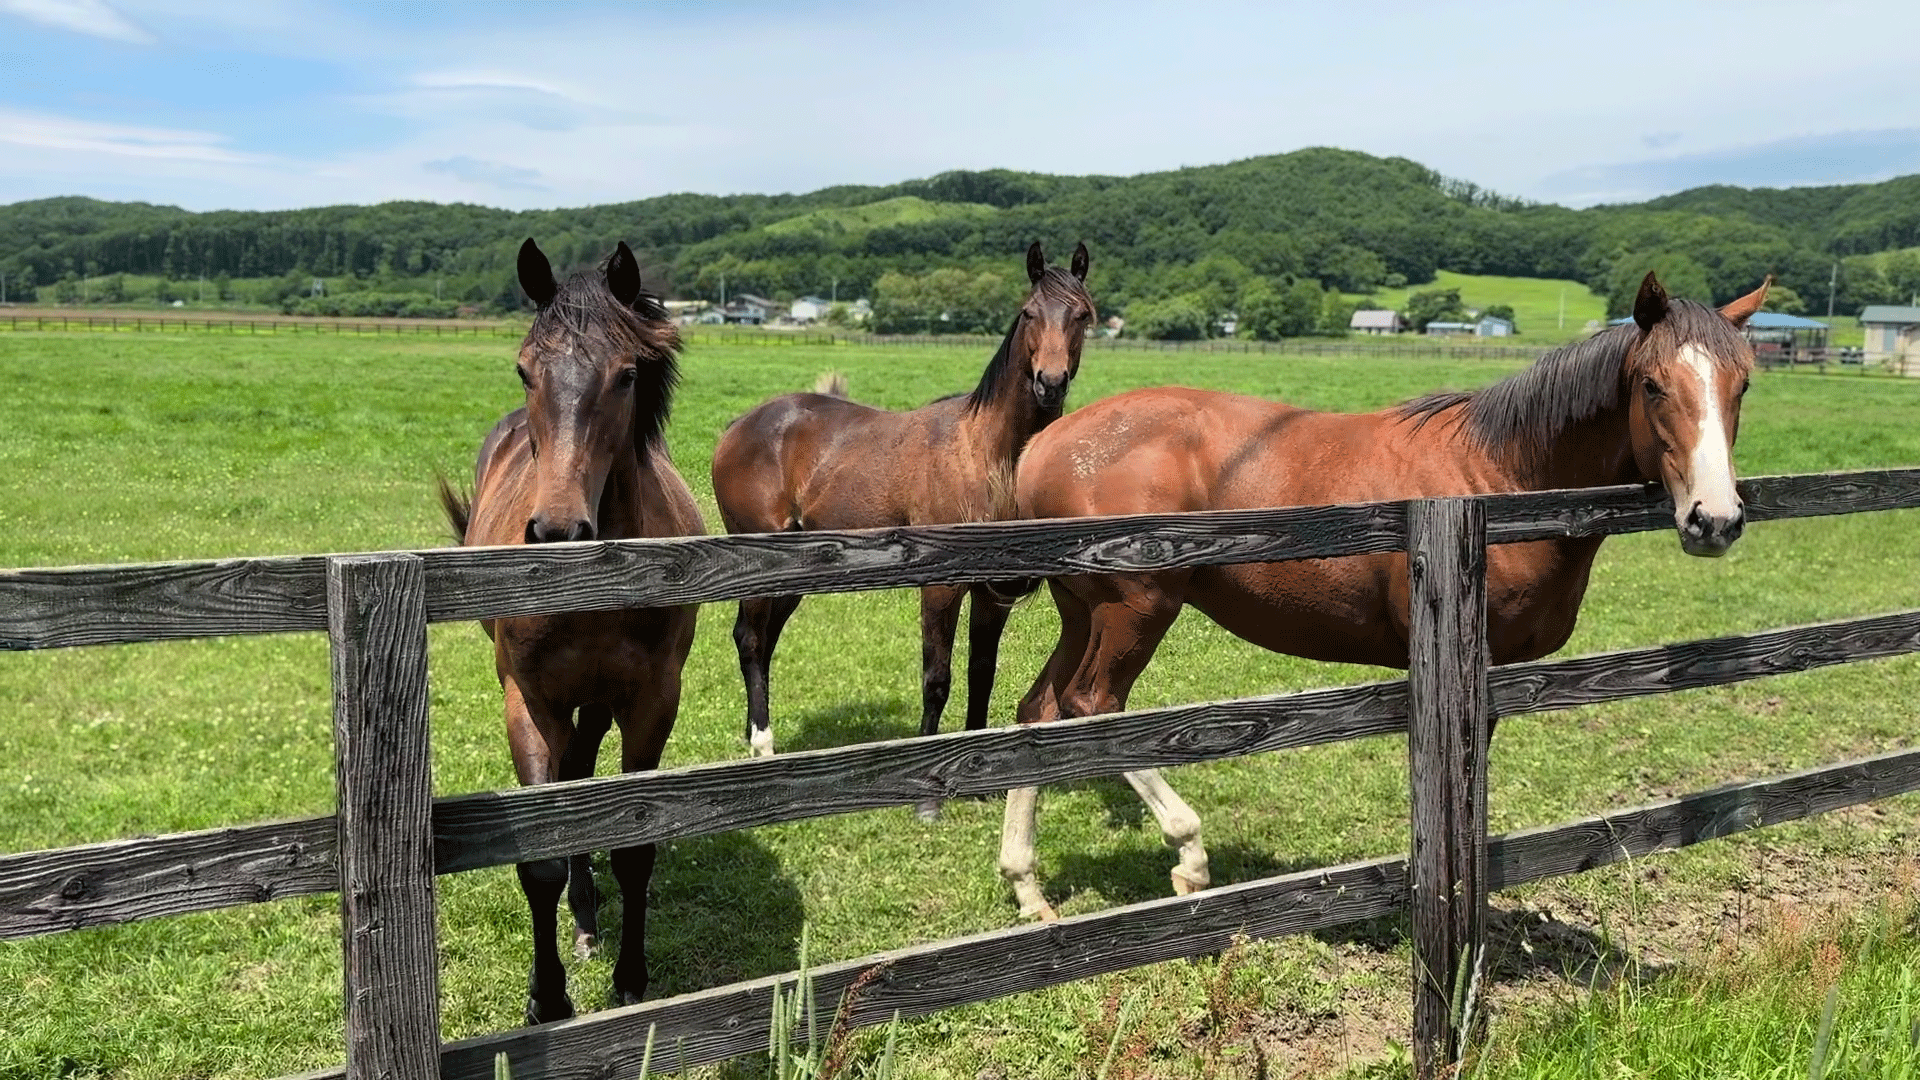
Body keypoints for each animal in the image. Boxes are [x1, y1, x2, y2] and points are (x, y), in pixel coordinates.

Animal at [437, 237, 706, 1014]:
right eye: (525, 368)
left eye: (626, 375)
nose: (558, 529)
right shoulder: (531, 703)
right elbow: (539, 858)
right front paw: (548, 1001)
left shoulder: (651, 701)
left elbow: (633, 845)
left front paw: (631, 981)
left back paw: (588, 920)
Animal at [710, 239, 1098, 776]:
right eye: (1029, 312)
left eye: (1082, 314)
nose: (1050, 382)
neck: (986, 453)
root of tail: (740, 425)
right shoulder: (940, 588)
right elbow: (937, 678)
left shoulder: (992, 594)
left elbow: (981, 672)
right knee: (749, 639)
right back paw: (762, 742)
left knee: (763, 641)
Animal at [1006, 269, 1766, 914]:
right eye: (1653, 385)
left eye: (1742, 386)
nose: (1714, 518)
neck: (1499, 477)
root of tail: (1045, 445)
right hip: (1135, 610)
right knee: (1092, 710)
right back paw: (1188, 854)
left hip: (1081, 614)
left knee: (1038, 713)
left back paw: (1027, 886)